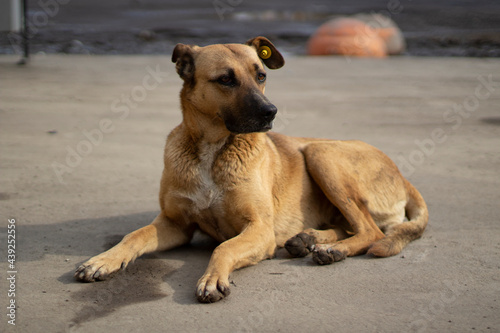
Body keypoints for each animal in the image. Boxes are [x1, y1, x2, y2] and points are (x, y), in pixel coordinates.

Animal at [76, 36, 428, 300]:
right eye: (225, 79)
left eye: (261, 75)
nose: (271, 112)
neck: (213, 149)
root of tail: (403, 176)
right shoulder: (175, 224)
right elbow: (134, 235)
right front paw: (103, 261)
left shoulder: (259, 228)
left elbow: (225, 247)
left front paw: (212, 279)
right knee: (353, 226)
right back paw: (309, 239)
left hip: (320, 153)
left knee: (369, 230)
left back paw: (331, 250)